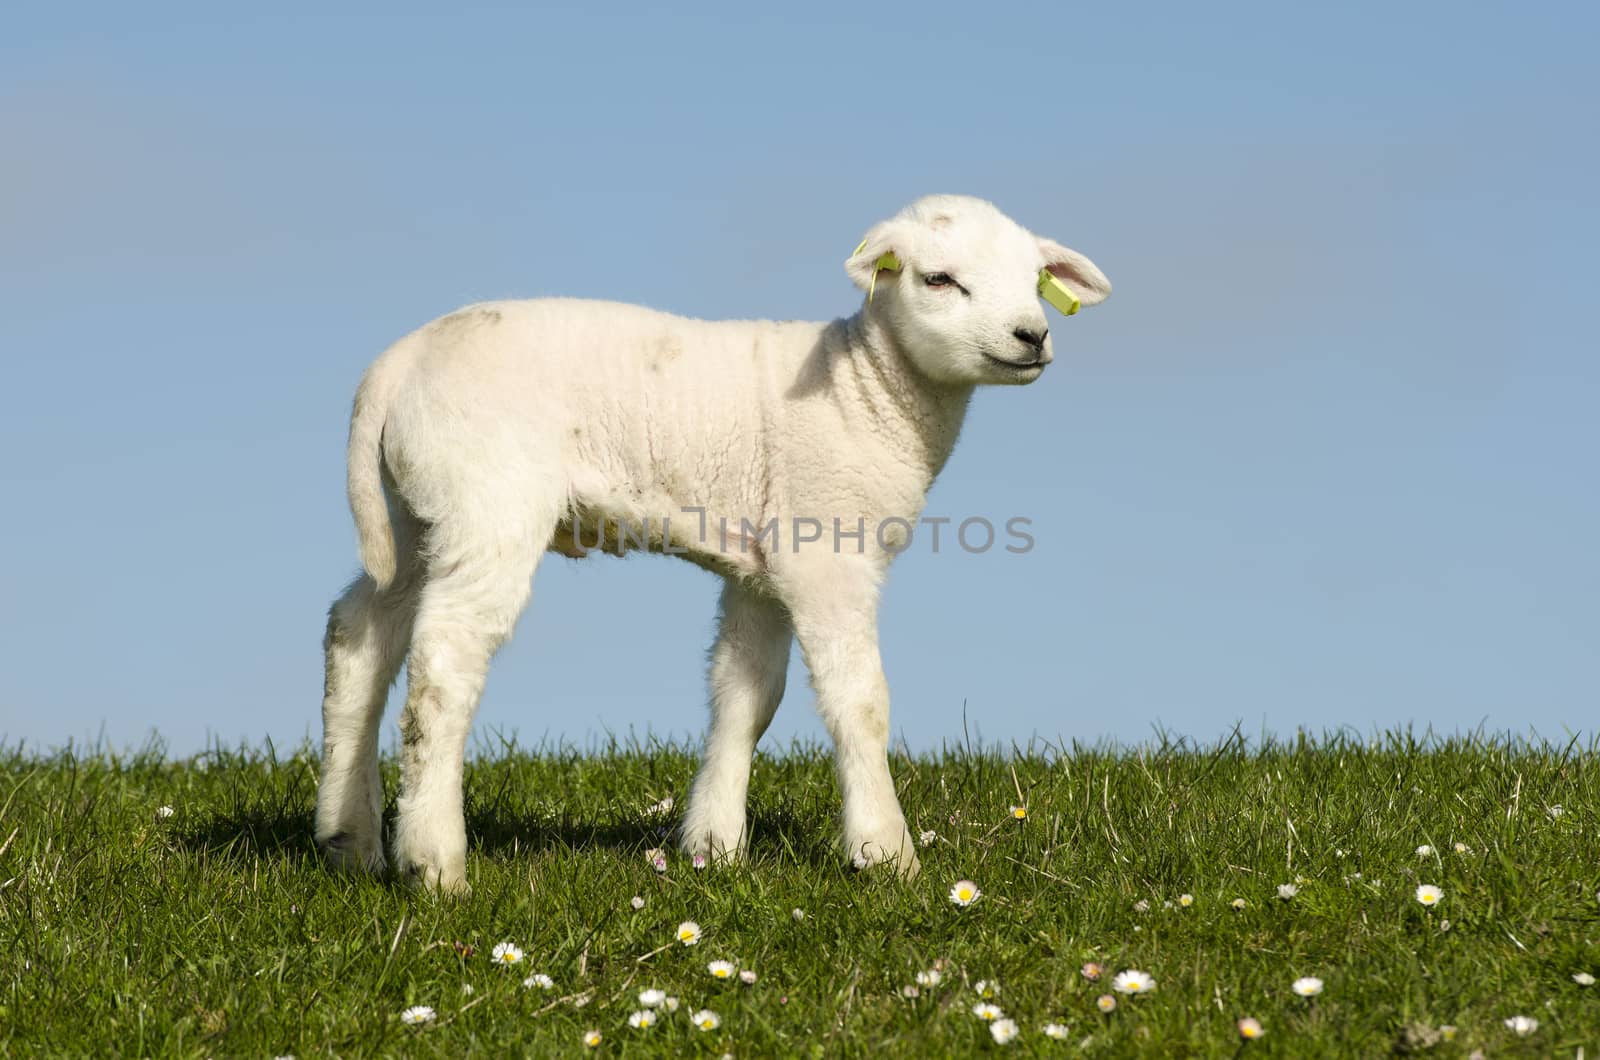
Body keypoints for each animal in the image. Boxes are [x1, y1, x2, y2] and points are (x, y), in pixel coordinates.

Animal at [312, 195, 1113, 890]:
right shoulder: (827, 553)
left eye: (1035, 282)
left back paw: (348, 839)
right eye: (938, 279)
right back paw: (436, 863)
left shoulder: (762, 566)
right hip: (487, 504)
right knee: (444, 662)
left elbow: (745, 695)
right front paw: (885, 852)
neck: (868, 391)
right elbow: (860, 700)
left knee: (360, 634)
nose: (1032, 336)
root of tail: (394, 367)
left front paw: (713, 845)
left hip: (414, 513)